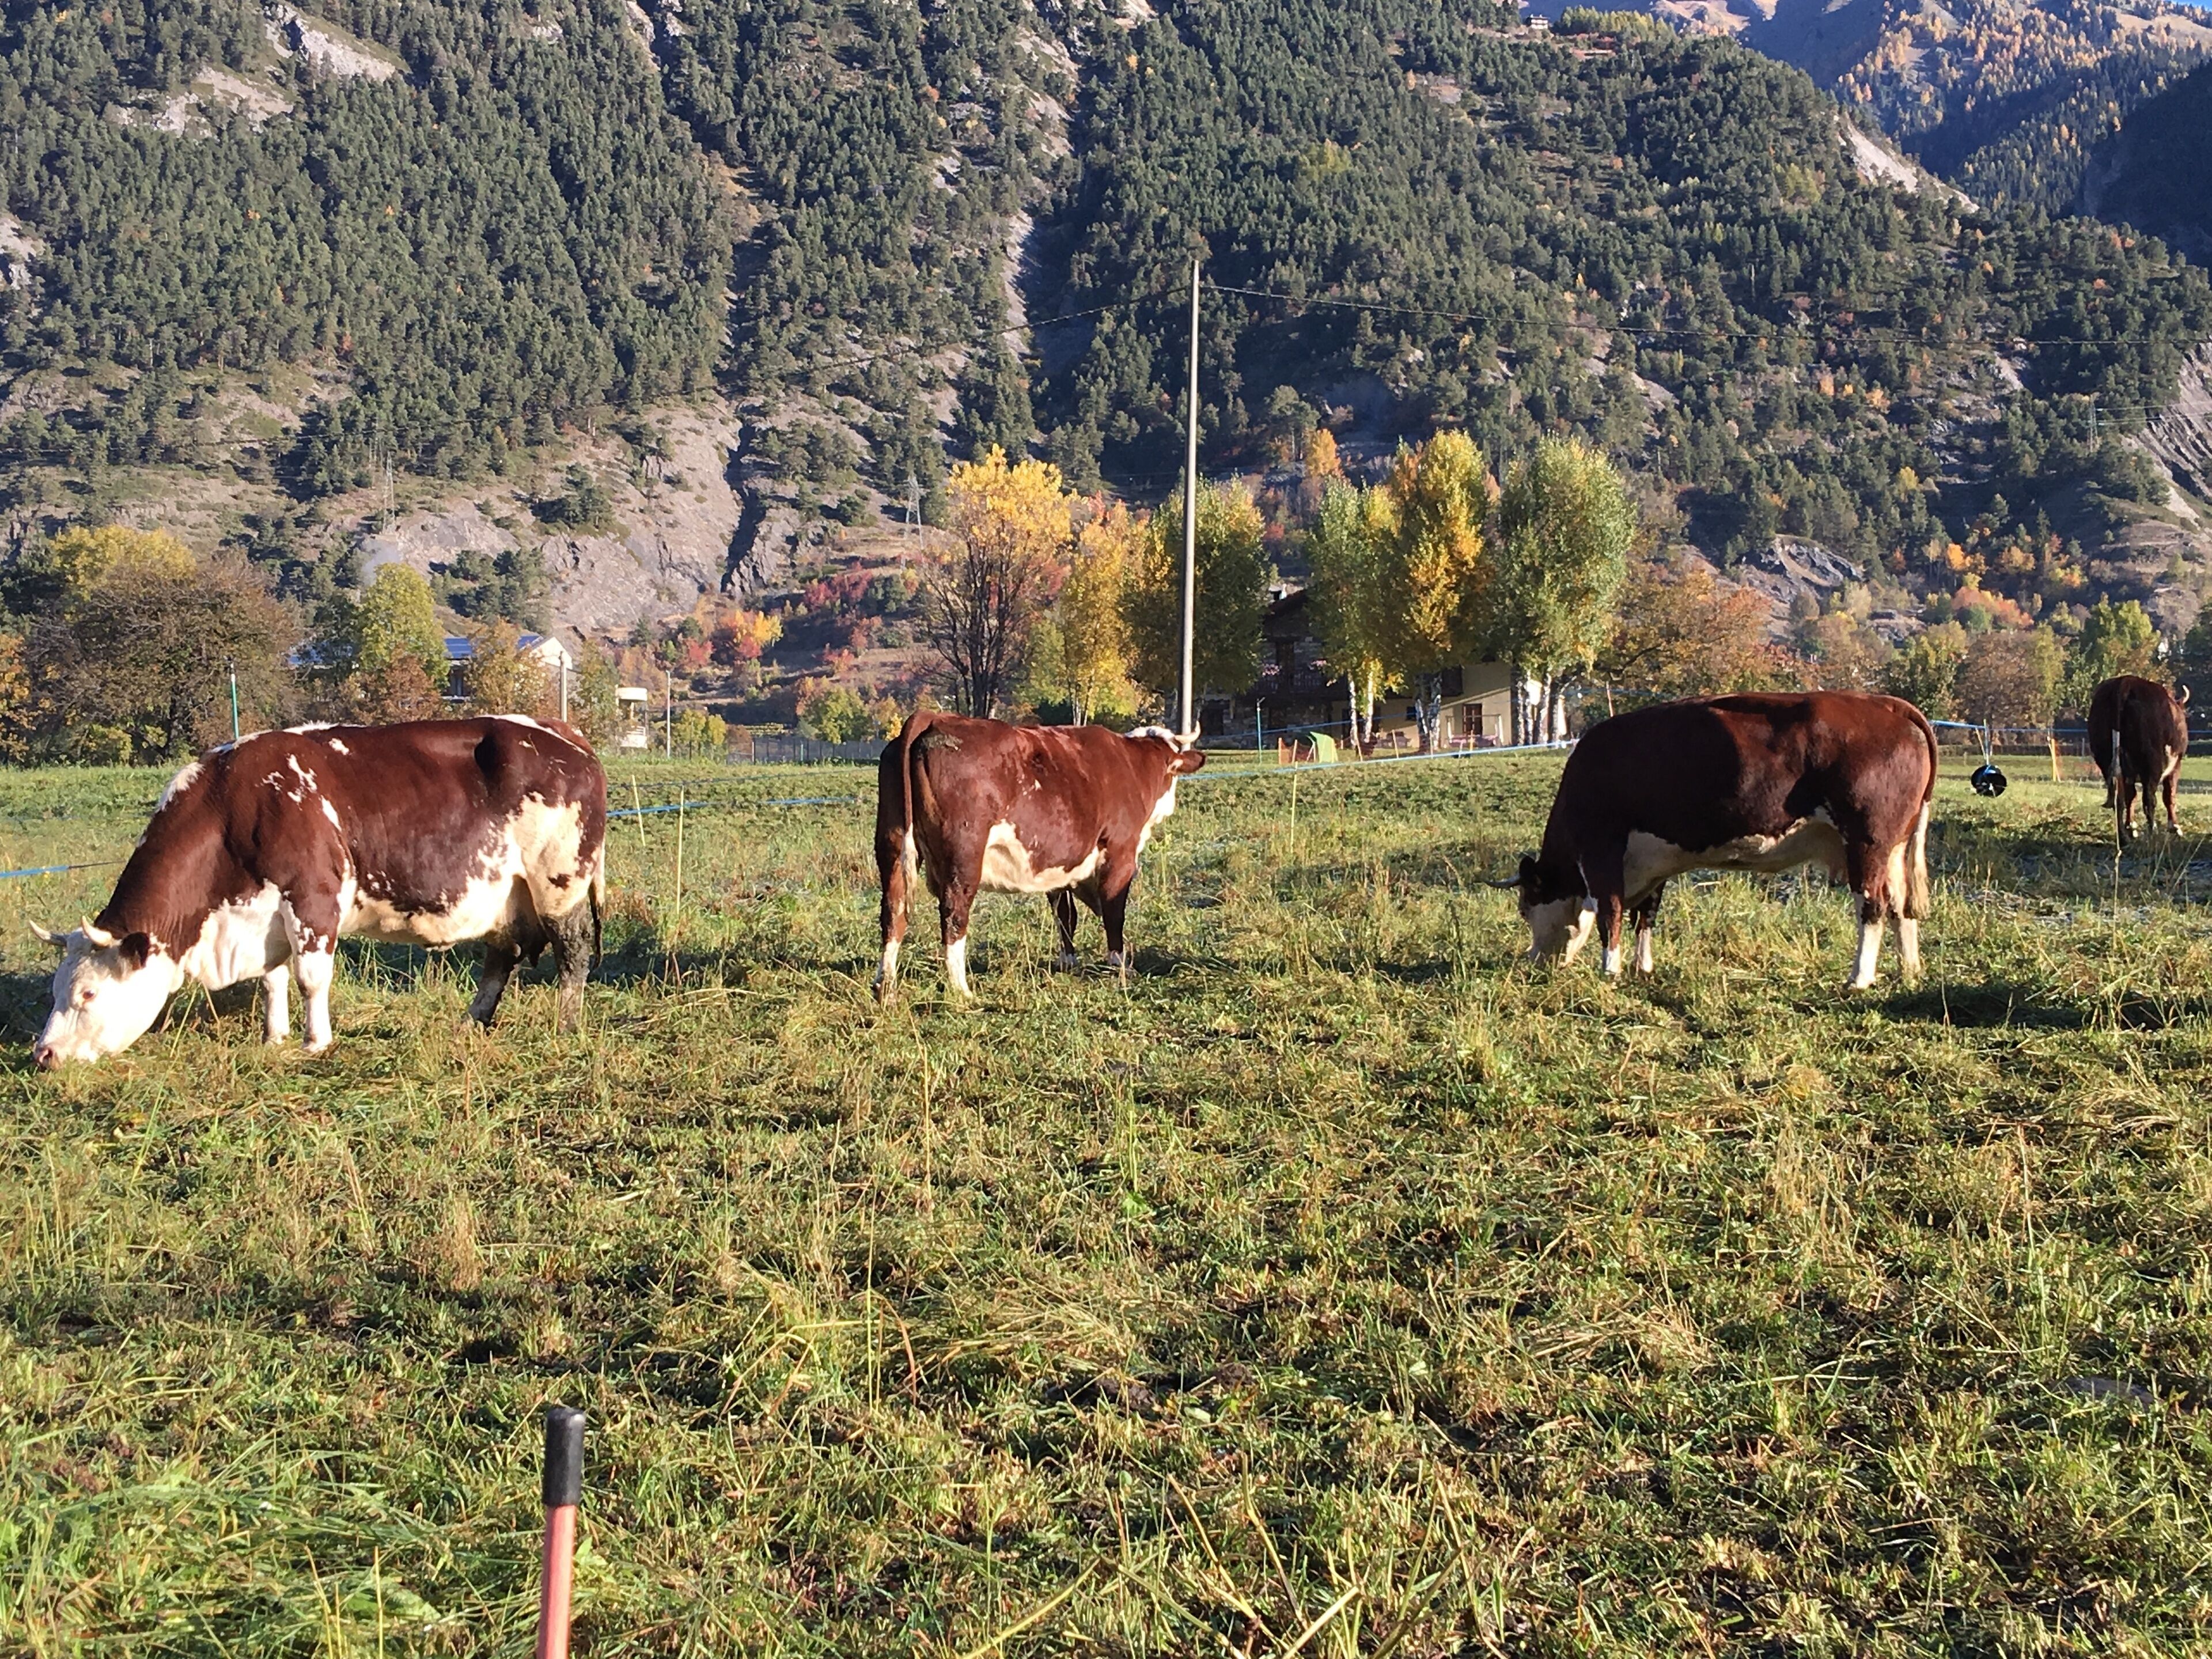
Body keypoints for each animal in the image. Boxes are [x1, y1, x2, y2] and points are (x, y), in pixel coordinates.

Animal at [32, 717, 605, 1068]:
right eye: (56, 989)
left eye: (88, 993)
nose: (44, 1054)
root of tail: (561, 731)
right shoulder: (266, 915)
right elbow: (272, 980)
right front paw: (274, 1036)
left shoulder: (312, 898)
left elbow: (311, 978)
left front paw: (315, 1041)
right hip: (505, 894)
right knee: (501, 955)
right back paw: (470, 1021)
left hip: (559, 881)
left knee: (572, 952)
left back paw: (566, 1021)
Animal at [875, 713, 1205, 998]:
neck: (1134, 765)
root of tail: (934, 717)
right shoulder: (1120, 854)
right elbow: (1114, 911)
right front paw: (1120, 964)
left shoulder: (1059, 864)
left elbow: (1066, 915)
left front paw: (1068, 961)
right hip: (964, 856)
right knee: (954, 914)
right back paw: (961, 988)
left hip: (892, 846)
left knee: (893, 911)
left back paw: (885, 985)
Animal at [1495, 691, 1937, 990]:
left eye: (1526, 908)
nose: (1533, 961)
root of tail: (1885, 704)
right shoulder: (1655, 861)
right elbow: (1646, 914)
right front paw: (1642, 967)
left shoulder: (1602, 849)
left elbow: (1611, 912)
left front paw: (1611, 969)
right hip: (1892, 849)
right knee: (1900, 907)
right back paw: (1909, 970)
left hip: (1867, 842)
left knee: (1873, 906)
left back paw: (1859, 978)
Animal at [2087, 675, 2190, 845]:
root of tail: (2126, 682)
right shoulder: (2176, 765)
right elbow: (2169, 795)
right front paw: (2175, 827)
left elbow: (2131, 797)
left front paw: (2131, 826)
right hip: (2152, 763)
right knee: (2149, 799)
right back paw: (2152, 833)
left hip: (2104, 758)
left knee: (2119, 798)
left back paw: (2124, 837)